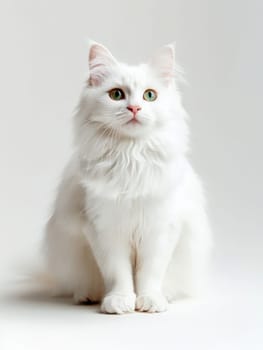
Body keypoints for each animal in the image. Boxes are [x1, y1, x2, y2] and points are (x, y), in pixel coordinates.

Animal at [43, 41, 212, 314]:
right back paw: (87, 296)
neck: (131, 156)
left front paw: (150, 300)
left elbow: (150, 273)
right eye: (116, 95)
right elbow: (118, 273)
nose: (134, 108)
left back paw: (166, 296)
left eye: (150, 95)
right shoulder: (104, 228)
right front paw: (119, 301)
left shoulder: (161, 228)